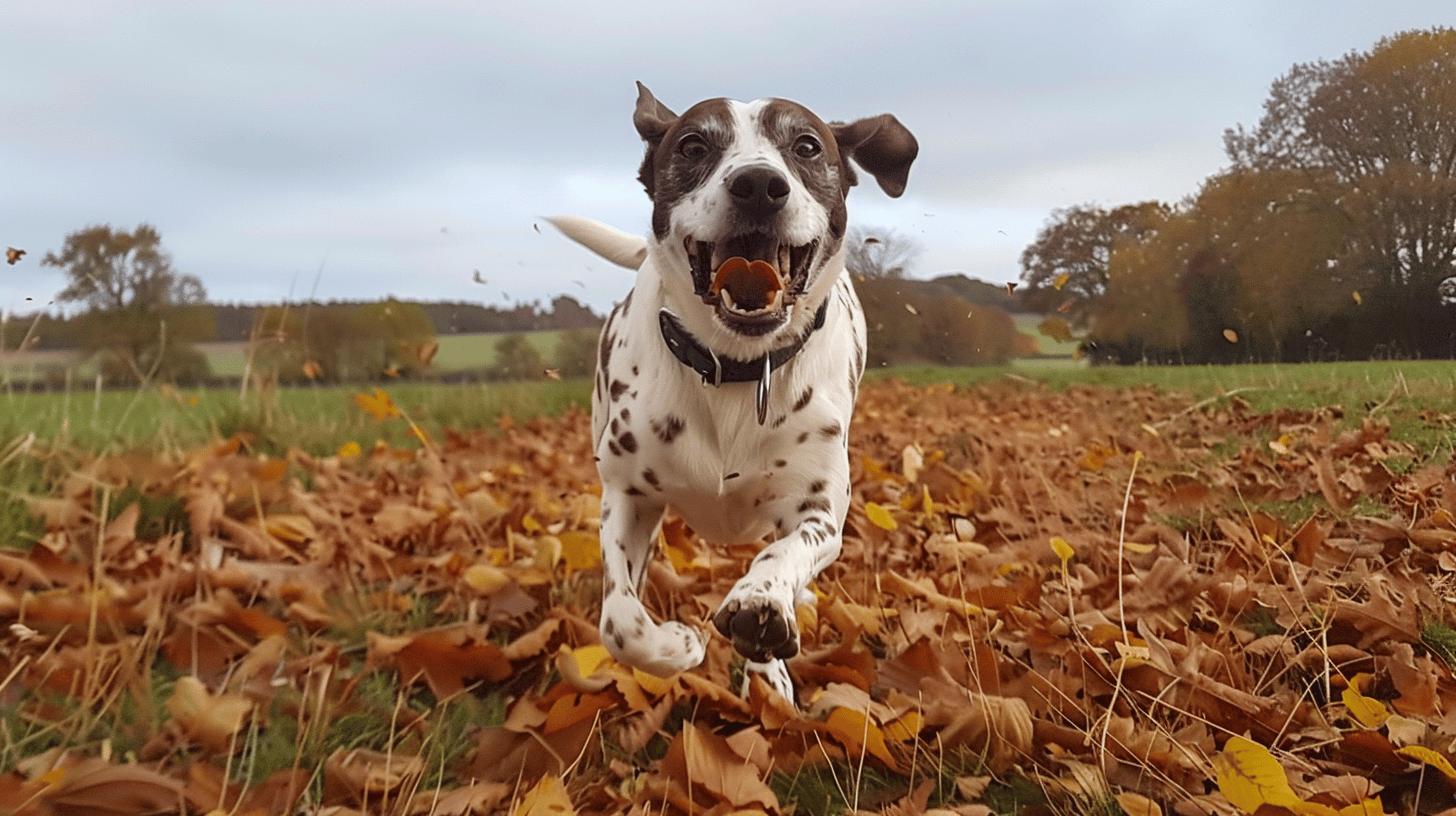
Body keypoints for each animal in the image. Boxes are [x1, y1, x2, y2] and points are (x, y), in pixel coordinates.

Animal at [550, 84, 914, 702]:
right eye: (694, 145)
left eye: (807, 145)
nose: (760, 185)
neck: (737, 368)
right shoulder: (628, 496)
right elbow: (620, 622)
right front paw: (676, 647)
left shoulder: (817, 508)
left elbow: (786, 552)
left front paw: (760, 606)